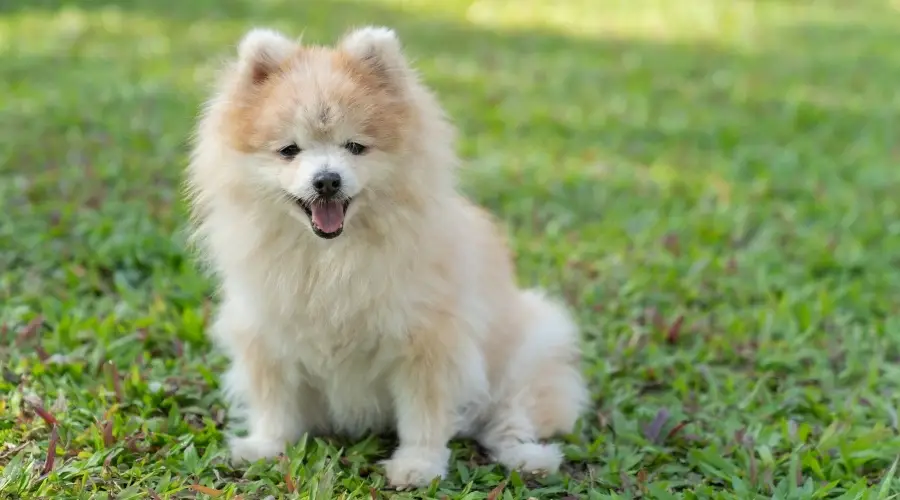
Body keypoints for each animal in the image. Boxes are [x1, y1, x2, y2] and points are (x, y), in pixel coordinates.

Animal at [185, 26, 592, 488]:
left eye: (355, 147)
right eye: (289, 150)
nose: (327, 179)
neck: (331, 259)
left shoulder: (427, 342)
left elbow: (423, 414)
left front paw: (418, 465)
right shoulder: (267, 333)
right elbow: (275, 401)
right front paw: (267, 446)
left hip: (528, 349)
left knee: (510, 416)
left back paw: (528, 458)